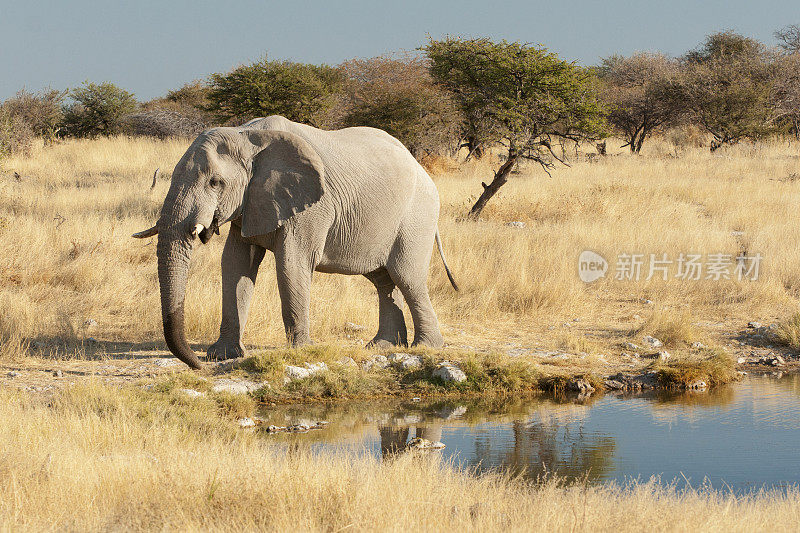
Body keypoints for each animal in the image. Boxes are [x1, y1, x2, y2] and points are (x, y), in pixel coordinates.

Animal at [131, 114, 456, 368]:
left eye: (215, 182)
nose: (198, 364)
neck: (247, 137)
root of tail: (423, 169)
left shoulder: (312, 208)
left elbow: (291, 264)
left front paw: (301, 351)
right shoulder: (250, 202)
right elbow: (235, 264)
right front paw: (222, 355)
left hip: (417, 216)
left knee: (407, 276)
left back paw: (427, 347)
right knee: (383, 280)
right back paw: (383, 346)